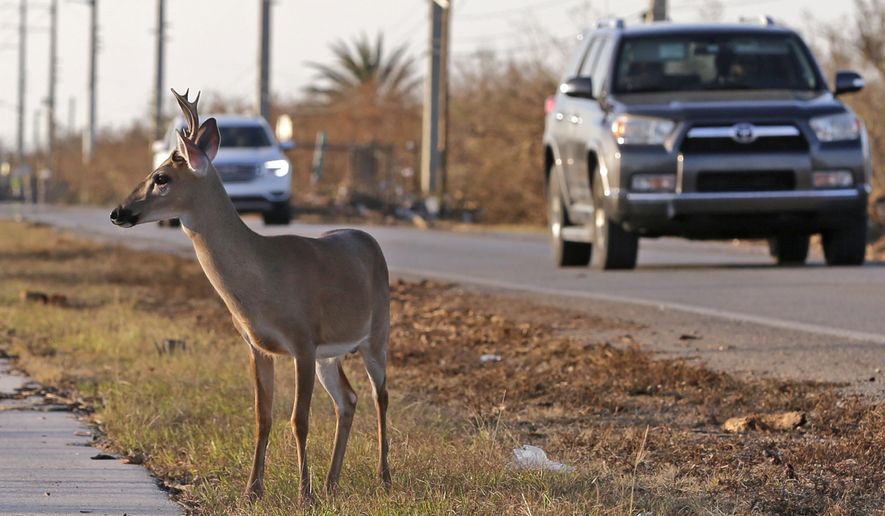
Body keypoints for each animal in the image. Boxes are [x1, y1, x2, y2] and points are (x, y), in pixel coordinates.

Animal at [110, 89, 391, 502]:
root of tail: (368, 238)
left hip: (377, 333)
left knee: (379, 395)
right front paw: (253, 490)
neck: (263, 279)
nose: (117, 212)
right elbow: (262, 417)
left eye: (161, 177)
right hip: (332, 353)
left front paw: (303, 494)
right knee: (348, 399)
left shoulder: (303, 341)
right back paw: (332, 482)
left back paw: (382, 477)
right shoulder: (256, 345)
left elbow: (299, 419)